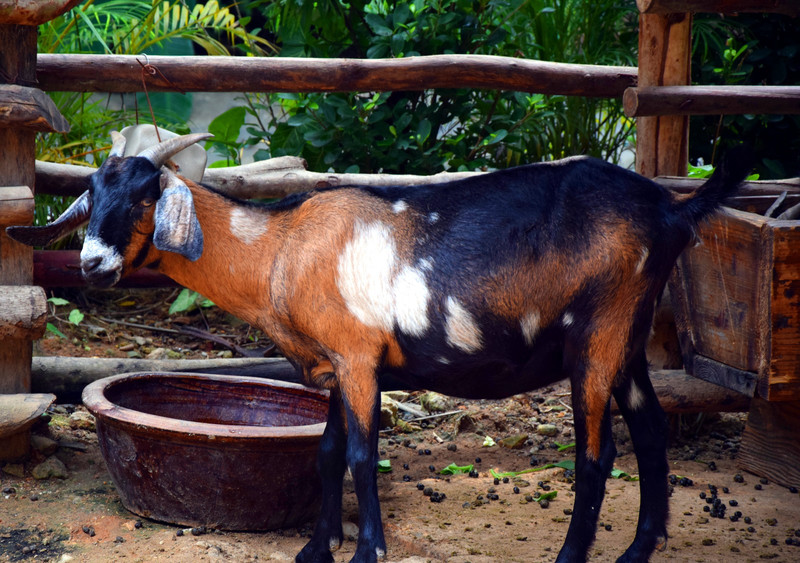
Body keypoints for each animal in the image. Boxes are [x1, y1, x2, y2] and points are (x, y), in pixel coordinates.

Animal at [7, 133, 752, 563]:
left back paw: (574, 556)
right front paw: (316, 548)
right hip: (627, 340)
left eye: (143, 197)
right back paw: (636, 551)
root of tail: (671, 211)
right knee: (650, 433)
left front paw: (368, 550)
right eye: (91, 194)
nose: (94, 265)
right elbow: (328, 451)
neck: (281, 249)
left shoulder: (360, 357)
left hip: (599, 334)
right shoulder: (335, 366)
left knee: (596, 455)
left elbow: (363, 456)